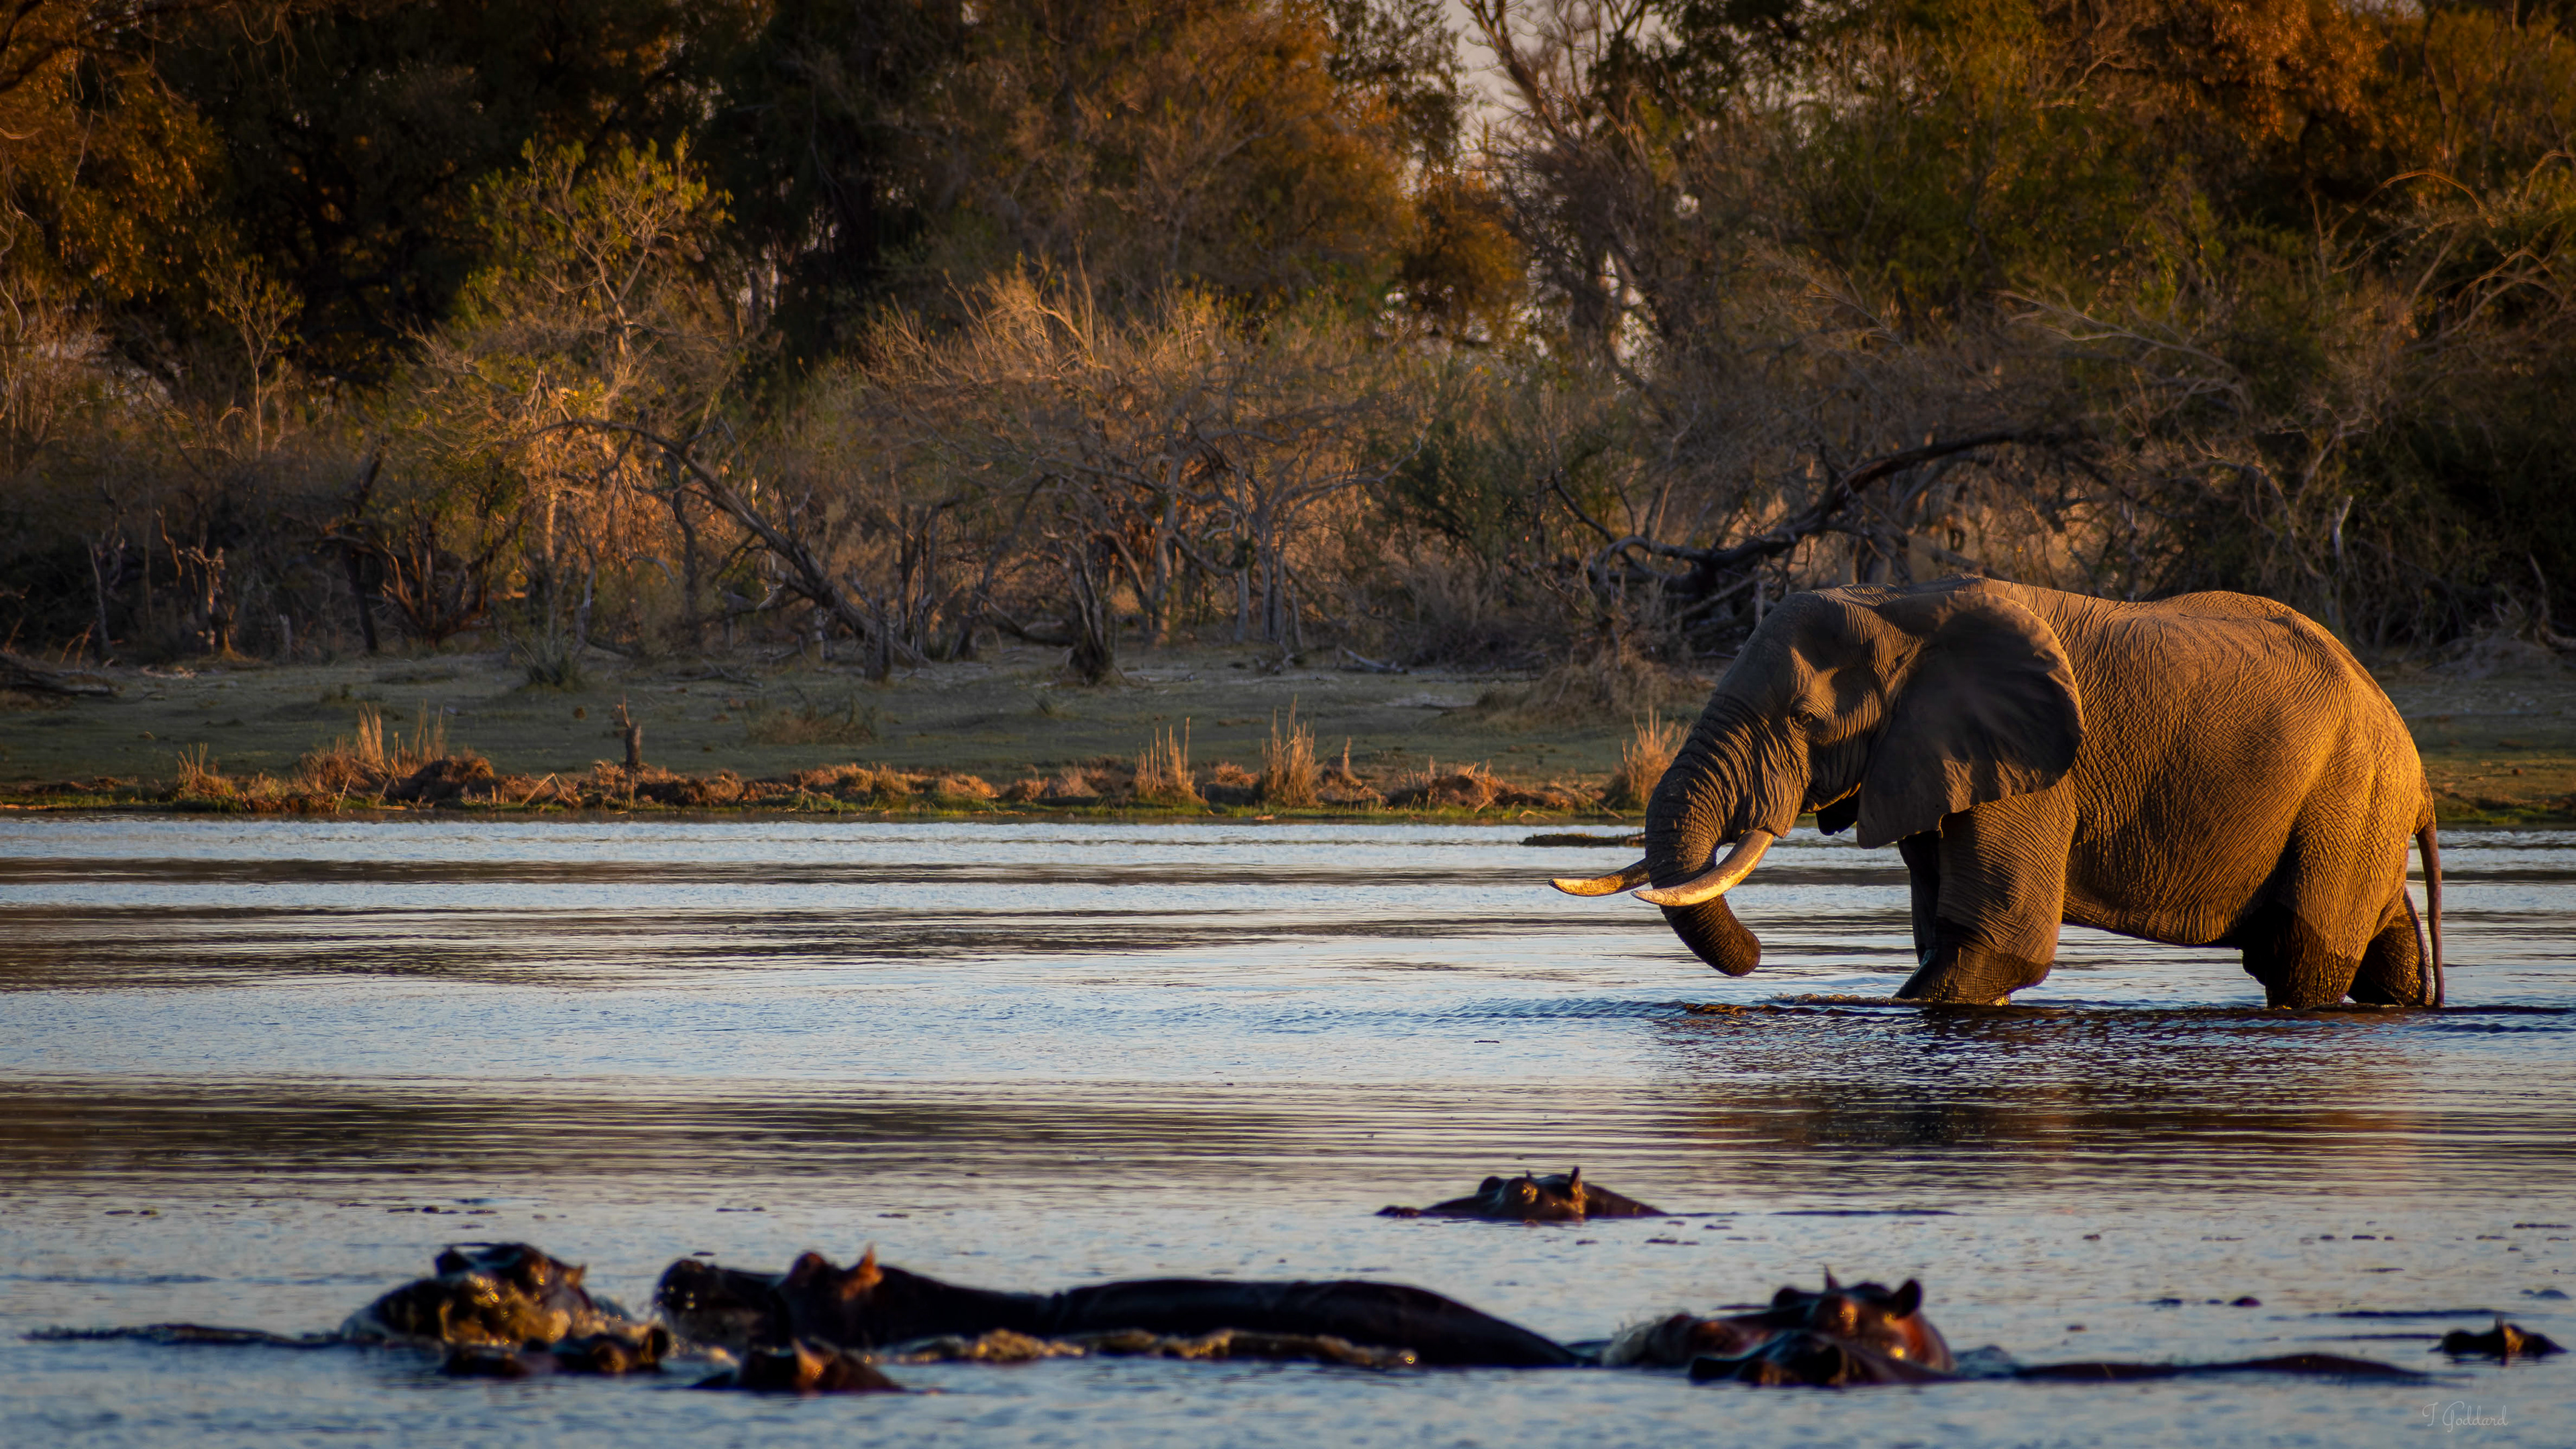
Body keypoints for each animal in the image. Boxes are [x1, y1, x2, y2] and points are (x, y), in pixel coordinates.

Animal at [1554, 578, 2444, 1008]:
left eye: (1805, 719)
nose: (1759, 959)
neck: (1902, 605)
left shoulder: (2037, 774)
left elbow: (1996, 942)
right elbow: (1943, 934)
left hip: (2347, 793)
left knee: (2299, 958)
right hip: (2358, 809)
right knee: (2384, 948)